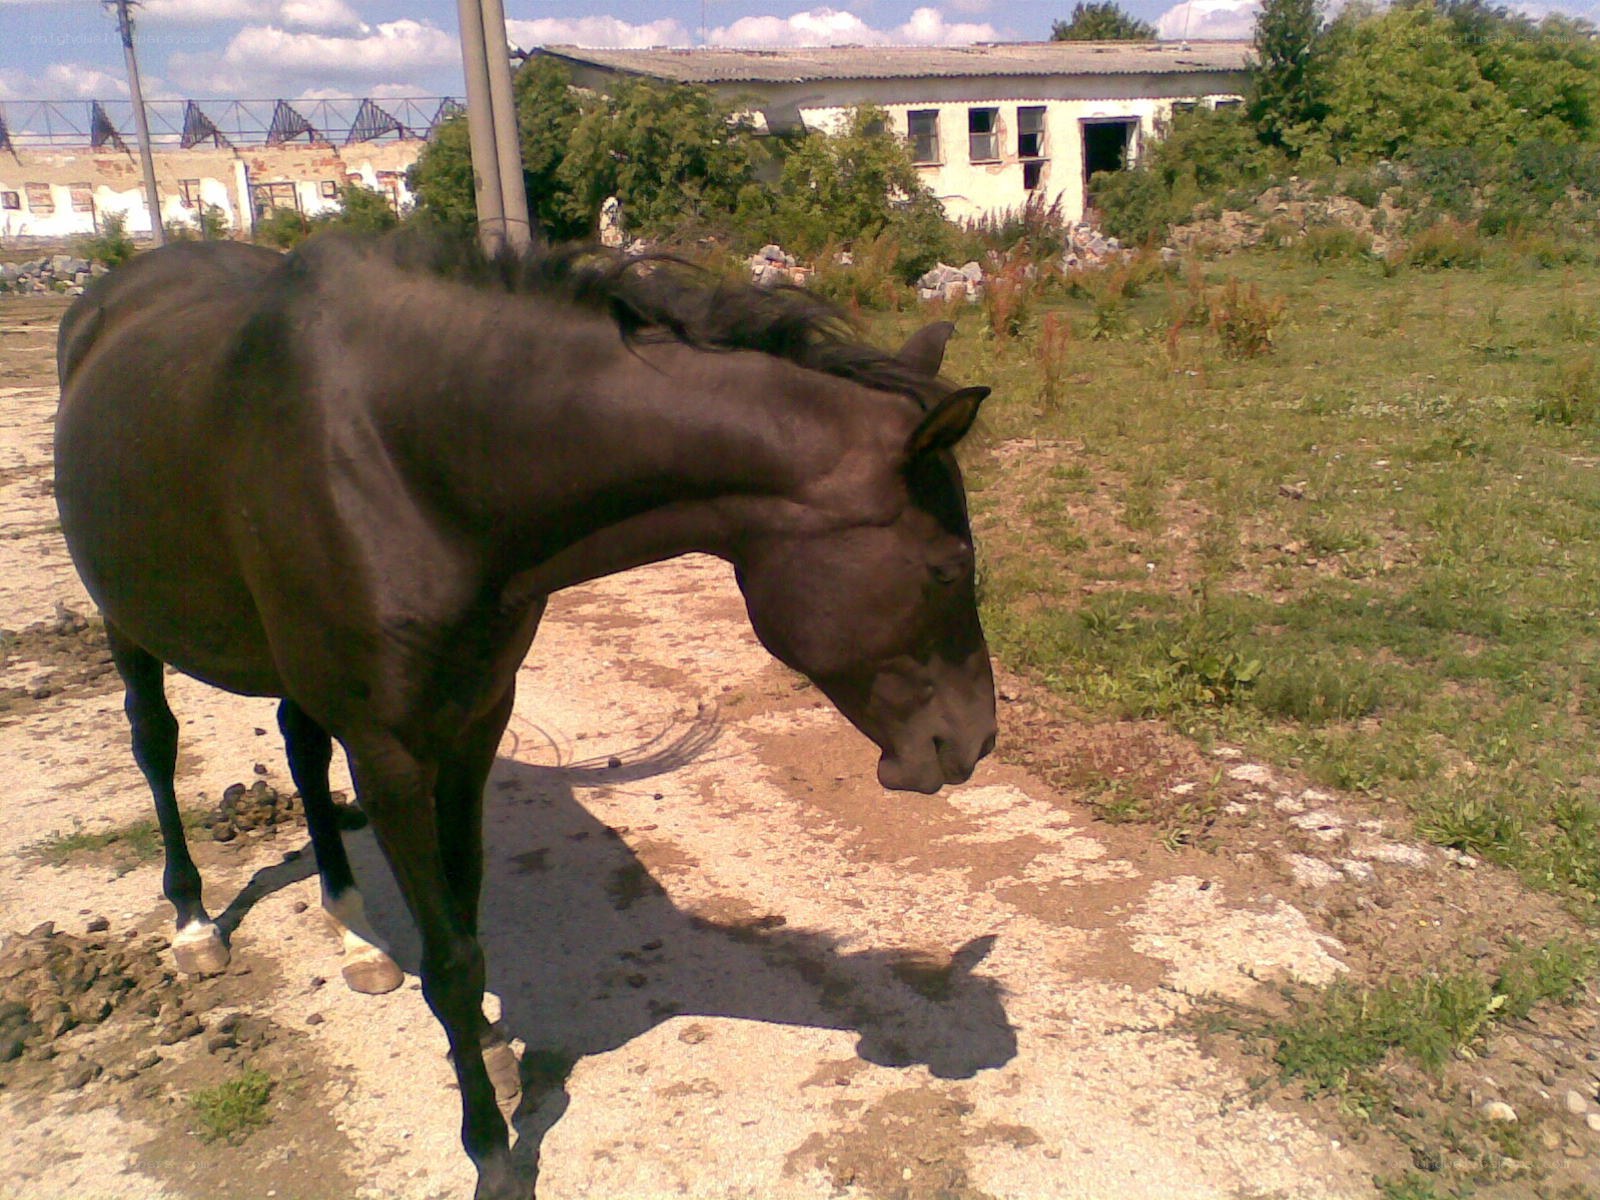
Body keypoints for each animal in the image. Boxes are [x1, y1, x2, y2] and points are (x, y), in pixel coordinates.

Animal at [53, 229, 997, 1199]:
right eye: (946, 568)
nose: (976, 740)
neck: (415, 461)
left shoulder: (476, 723)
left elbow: (465, 916)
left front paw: (490, 1050)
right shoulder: (390, 756)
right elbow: (449, 960)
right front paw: (493, 1151)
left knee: (301, 751)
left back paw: (355, 936)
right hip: (127, 625)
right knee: (156, 744)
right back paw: (194, 923)